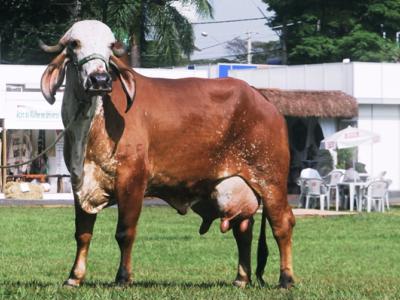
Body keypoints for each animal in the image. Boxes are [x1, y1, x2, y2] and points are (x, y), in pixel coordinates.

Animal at [40, 20, 296, 288]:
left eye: (110, 46)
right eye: (74, 43)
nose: (100, 79)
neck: (90, 122)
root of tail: (261, 97)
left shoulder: (132, 181)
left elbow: (125, 232)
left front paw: (123, 278)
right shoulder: (80, 181)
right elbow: (83, 233)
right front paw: (74, 277)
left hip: (271, 179)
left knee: (282, 224)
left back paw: (286, 279)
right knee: (244, 228)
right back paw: (241, 279)